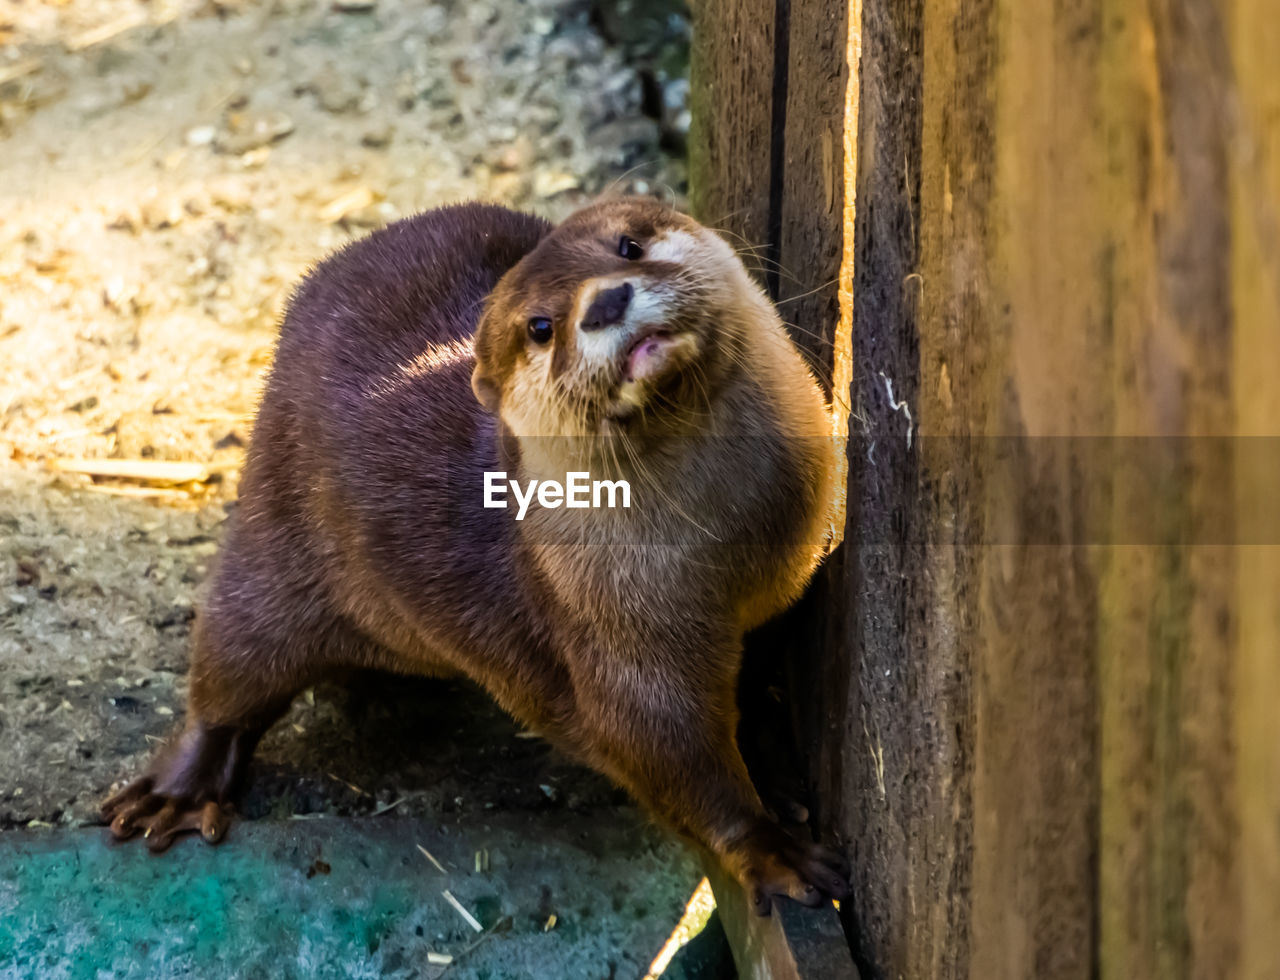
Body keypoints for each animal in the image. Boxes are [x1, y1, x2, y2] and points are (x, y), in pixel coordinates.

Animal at [104, 197, 849, 910]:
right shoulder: (621, 642)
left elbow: (754, 686)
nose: (606, 301)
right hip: (271, 536)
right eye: (541, 327)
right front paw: (772, 851)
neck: (729, 540)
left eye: (629, 245)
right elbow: (667, 752)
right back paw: (177, 791)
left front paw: (775, 776)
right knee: (230, 666)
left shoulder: (786, 582)